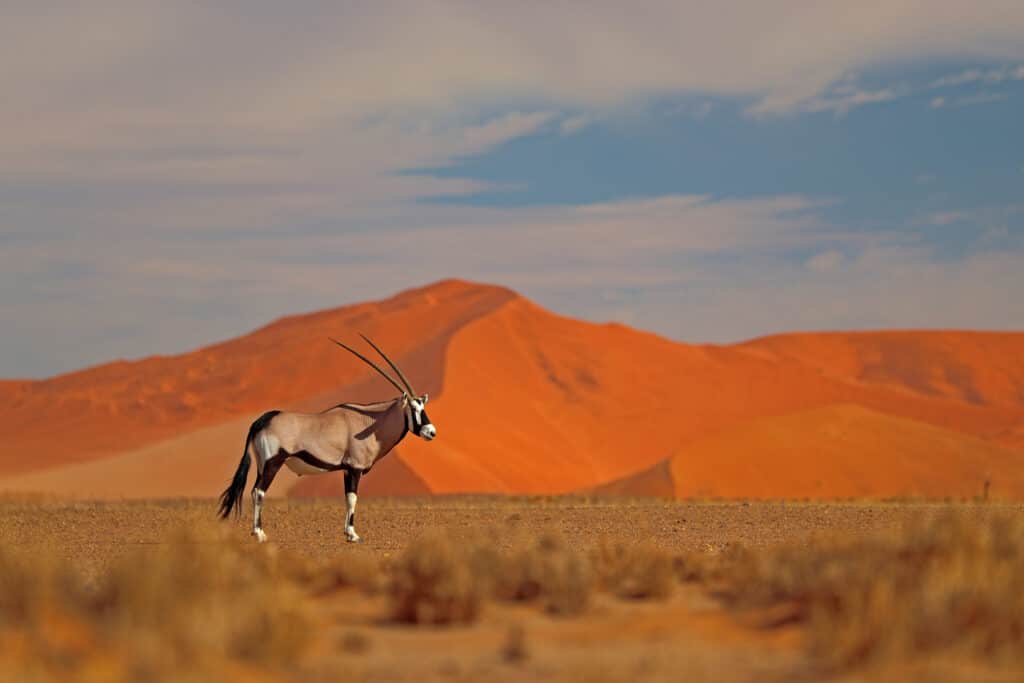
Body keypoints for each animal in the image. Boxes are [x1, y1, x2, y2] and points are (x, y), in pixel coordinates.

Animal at [218, 335, 434, 544]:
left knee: (254, 490)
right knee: (259, 492)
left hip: (262, 465)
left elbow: (347, 498)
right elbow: (353, 498)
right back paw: (260, 534)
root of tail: (261, 420)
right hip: (273, 463)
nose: (431, 432)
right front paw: (353, 535)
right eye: (413, 408)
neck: (371, 422)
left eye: (423, 407)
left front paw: (348, 532)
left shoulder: (347, 470)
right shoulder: (355, 468)